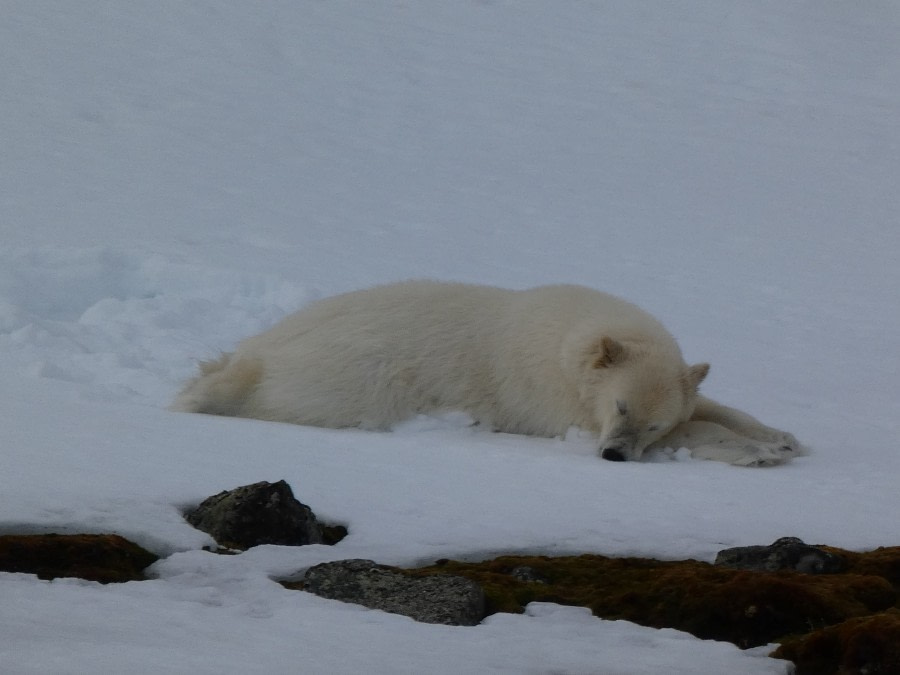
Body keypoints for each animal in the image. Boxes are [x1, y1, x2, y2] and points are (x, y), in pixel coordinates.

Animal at [174, 282, 800, 468]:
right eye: (623, 408)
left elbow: (706, 404)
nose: (614, 455)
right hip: (354, 377)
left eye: (650, 424)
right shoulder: (552, 393)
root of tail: (260, 349)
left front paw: (780, 436)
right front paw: (757, 453)